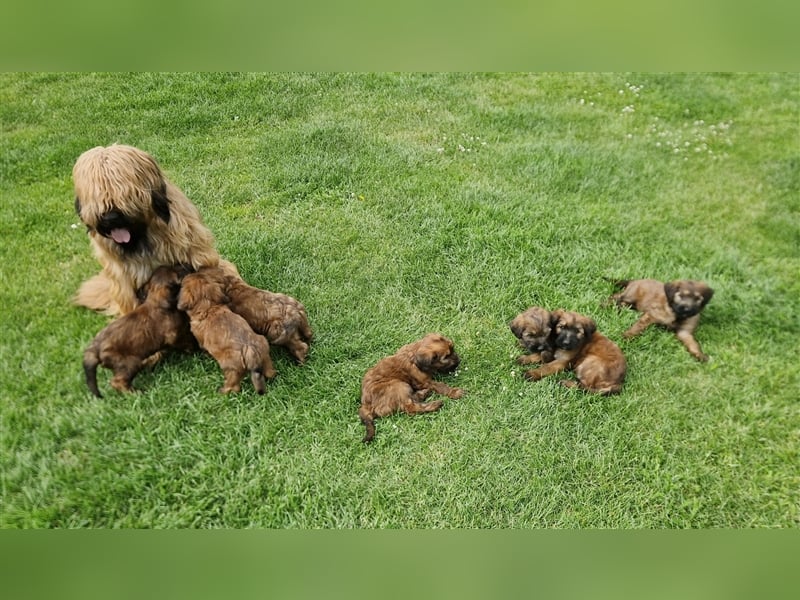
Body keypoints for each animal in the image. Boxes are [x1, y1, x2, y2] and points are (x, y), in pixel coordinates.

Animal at [83, 264, 197, 396]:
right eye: (179, 272)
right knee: (117, 382)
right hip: (129, 362)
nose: (187, 265)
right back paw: (135, 392)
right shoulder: (175, 336)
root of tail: (94, 349)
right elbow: (187, 341)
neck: (156, 302)